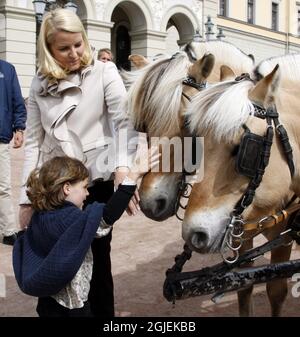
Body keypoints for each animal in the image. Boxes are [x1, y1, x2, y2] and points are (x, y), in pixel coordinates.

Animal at [183, 52, 300, 316]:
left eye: (243, 149)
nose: (193, 234)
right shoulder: (242, 230)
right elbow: (243, 285)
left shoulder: (284, 238)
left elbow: (276, 290)